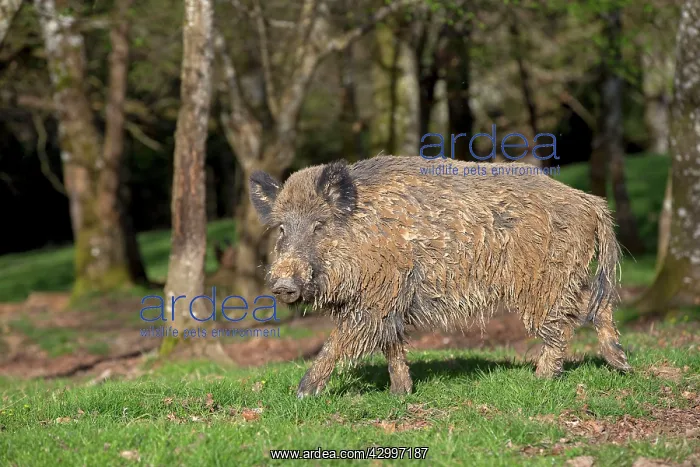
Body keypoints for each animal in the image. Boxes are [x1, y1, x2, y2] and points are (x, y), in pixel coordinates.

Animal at [249, 155, 631, 398]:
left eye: (319, 224)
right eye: (281, 228)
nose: (282, 285)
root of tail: (592, 203)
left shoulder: (378, 296)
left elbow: (339, 341)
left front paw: (301, 393)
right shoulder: (391, 301)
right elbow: (392, 346)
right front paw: (401, 394)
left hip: (544, 280)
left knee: (562, 323)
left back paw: (540, 379)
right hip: (570, 275)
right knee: (594, 305)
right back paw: (621, 365)